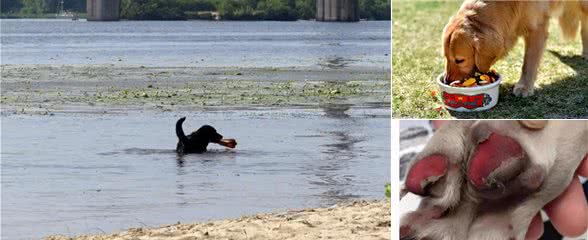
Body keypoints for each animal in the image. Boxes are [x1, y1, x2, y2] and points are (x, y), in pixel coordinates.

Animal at [444, 1, 584, 96]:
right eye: (446, 57)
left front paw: (524, 86)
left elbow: (528, 63)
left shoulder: (537, 28)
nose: (446, 80)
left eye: (460, 60)